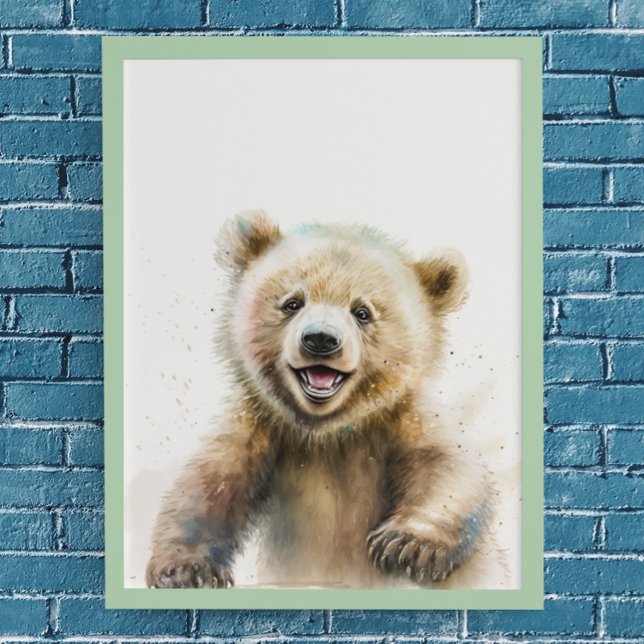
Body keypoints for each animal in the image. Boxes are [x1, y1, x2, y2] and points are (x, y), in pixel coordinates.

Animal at [145, 210, 505, 589]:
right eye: (292, 302)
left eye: (362, 311)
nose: (320, 339)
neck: (327, 432)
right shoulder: (262, 425)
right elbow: (208, 485)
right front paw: (185, 569)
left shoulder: (401, 419)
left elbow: (448, 467)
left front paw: (408, 545)